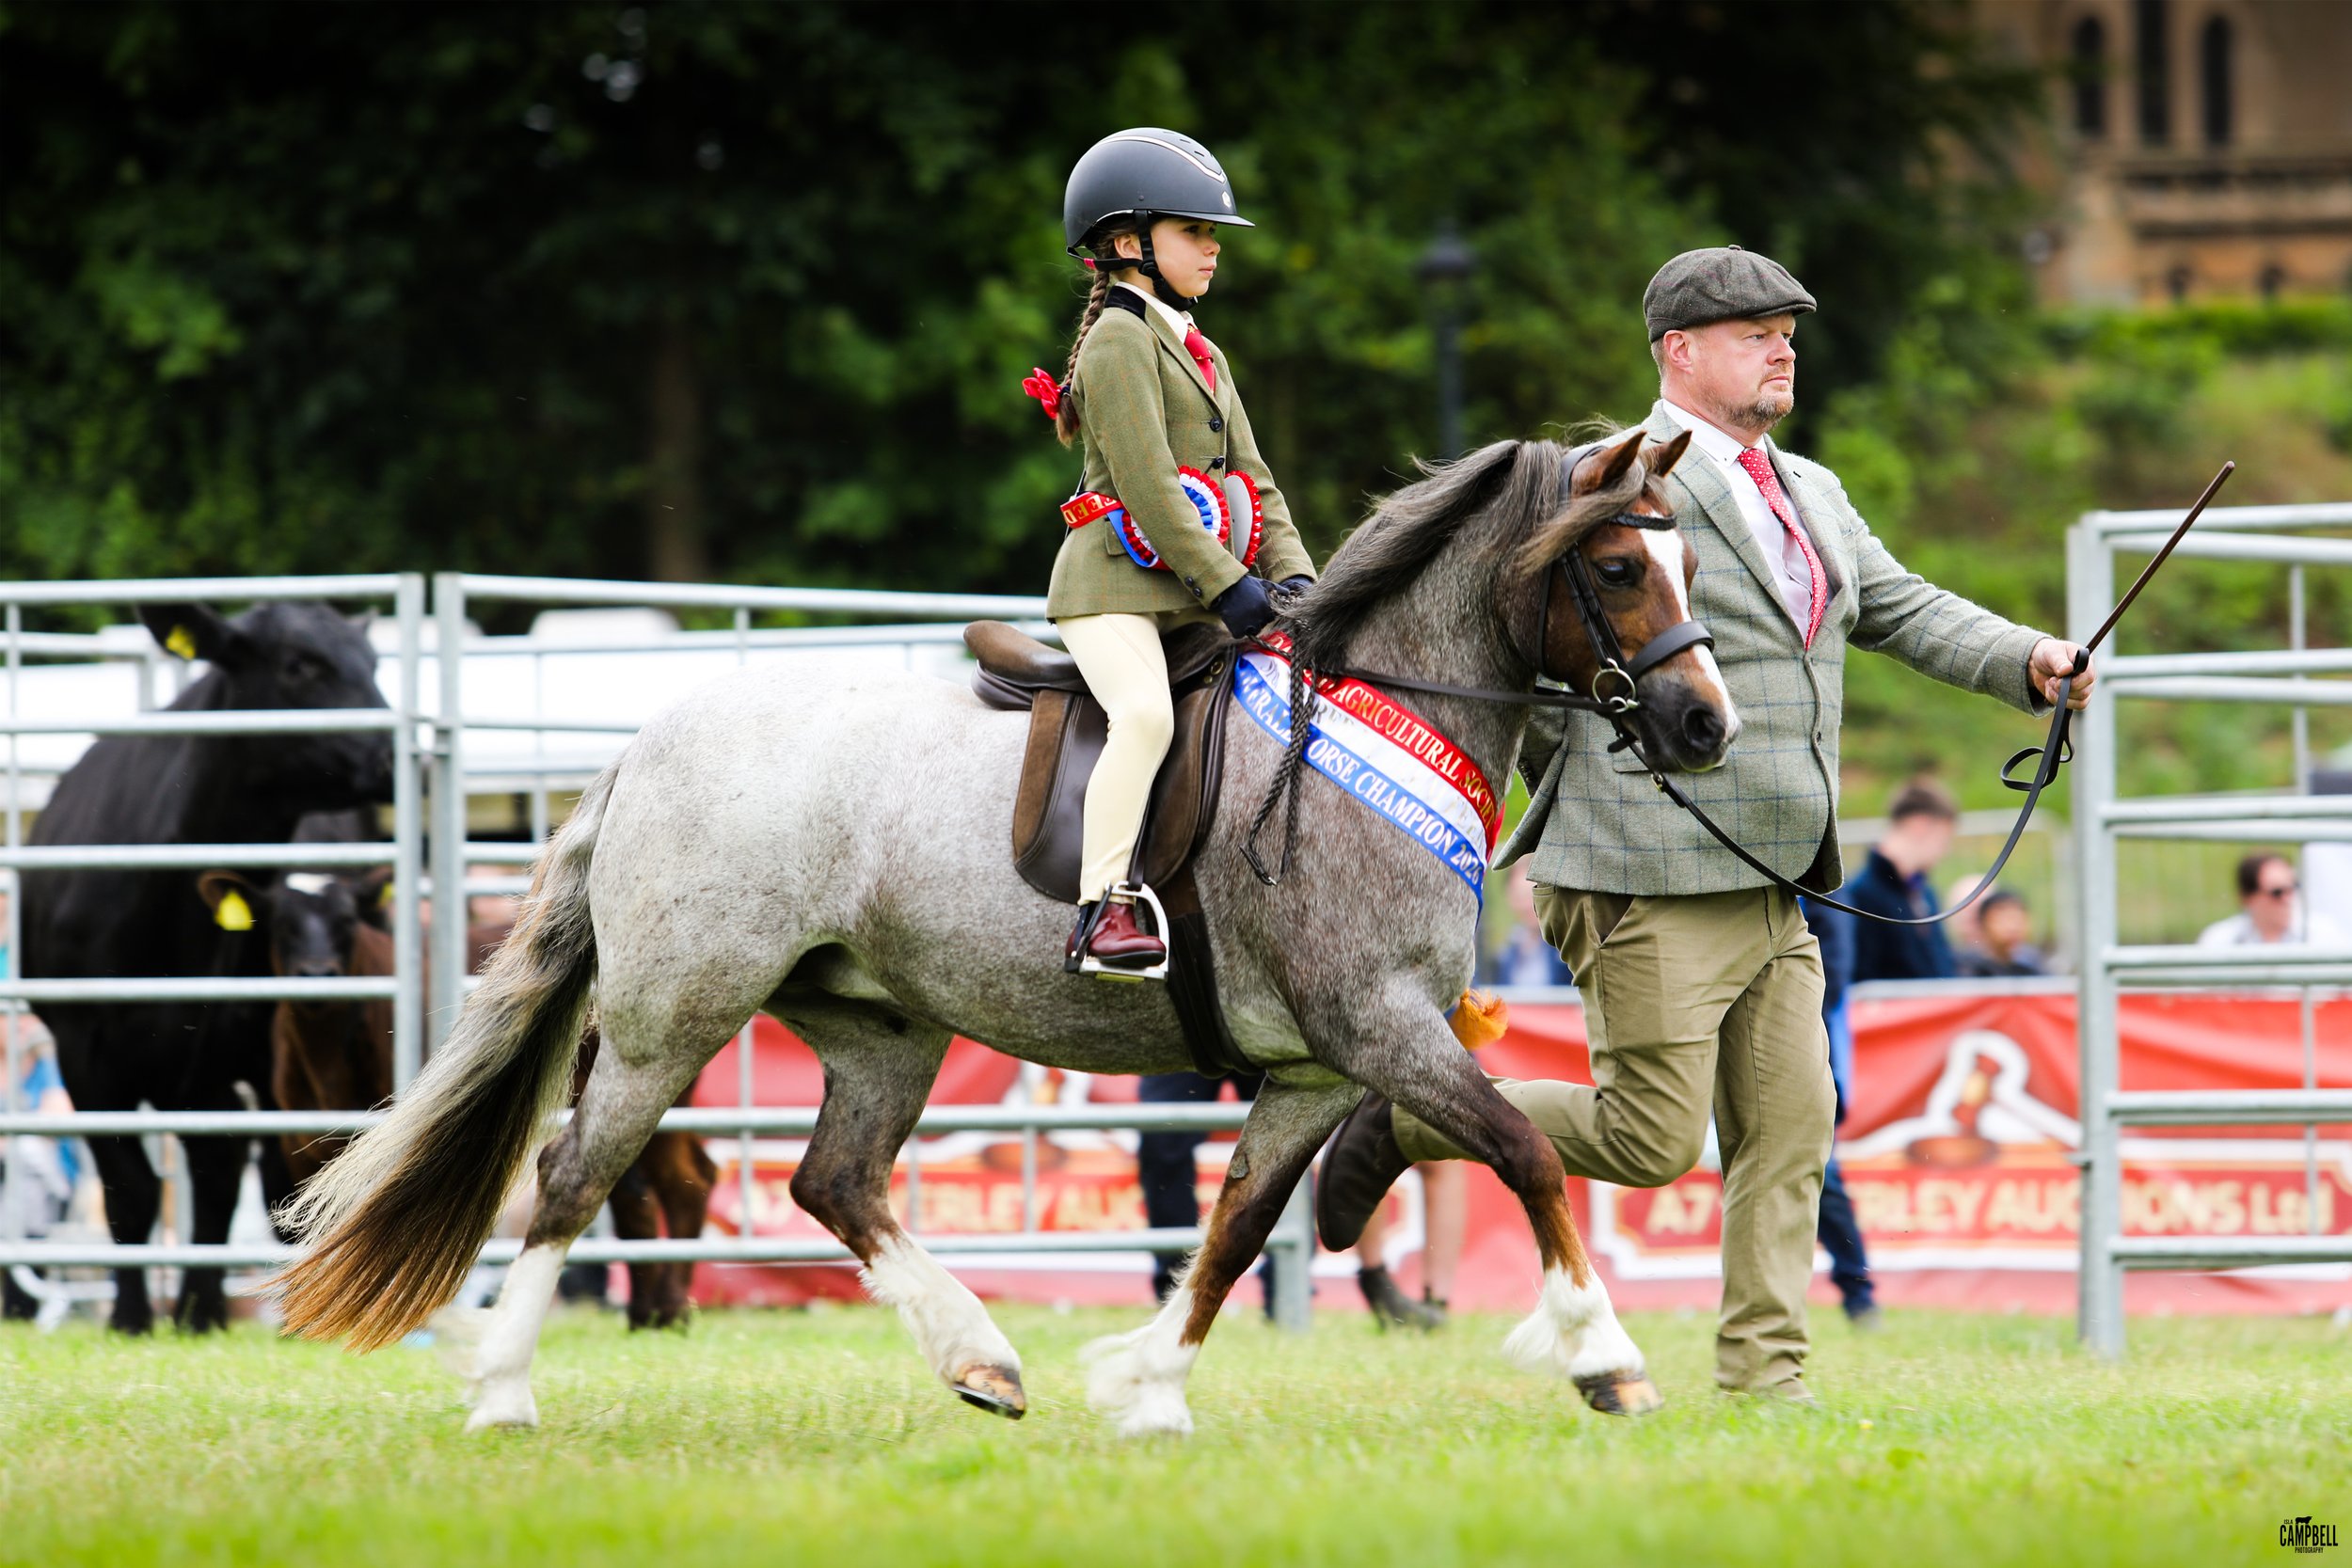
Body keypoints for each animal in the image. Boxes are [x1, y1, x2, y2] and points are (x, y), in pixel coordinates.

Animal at [273, 427, 1731, 1436]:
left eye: (1689, 565)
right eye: (1617, 566)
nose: (1704, 725)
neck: (1370, 722)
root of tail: (647, 742)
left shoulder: (1319, 1067)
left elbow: (1236, 1226)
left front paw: (1148, 1385)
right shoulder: (1379, 1026)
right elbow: (1525, 1151)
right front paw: (1606, 1356)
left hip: (880, 1027)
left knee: (835, 1181)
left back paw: (980, 1356)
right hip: (670, 1017)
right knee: (576, 1172)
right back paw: (505, 1391)